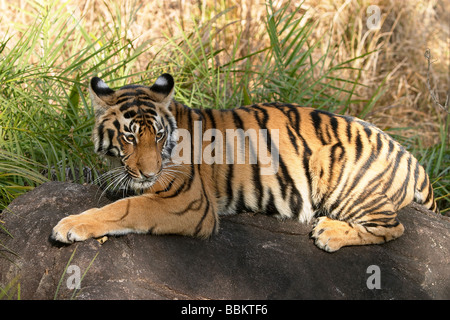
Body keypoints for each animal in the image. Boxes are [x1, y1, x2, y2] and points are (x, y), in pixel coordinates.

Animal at [50, 72, 440, 252]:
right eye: (130, 137)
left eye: (158, 136)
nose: (150, 172)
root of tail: (411, 157)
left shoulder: (189, 202)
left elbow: (126, 208)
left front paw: (69, 225)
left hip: (345, 181)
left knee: (393, 228)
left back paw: (329, 232)